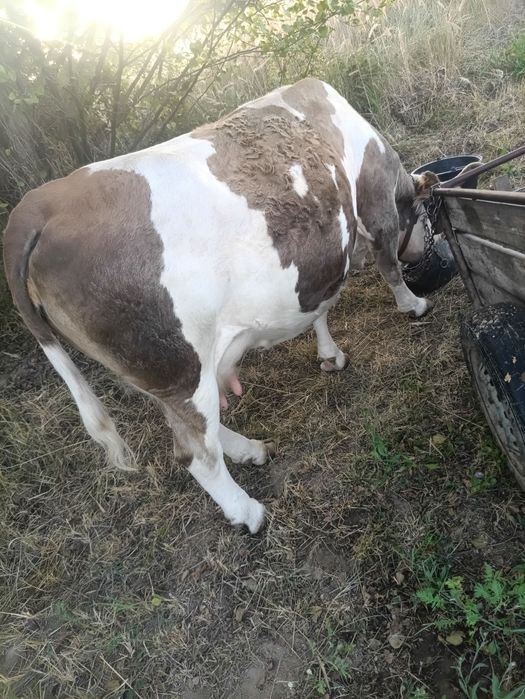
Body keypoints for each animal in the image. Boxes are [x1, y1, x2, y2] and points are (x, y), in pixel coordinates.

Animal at [3, 78, 438, 533]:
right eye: (423, 213)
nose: (430, 244)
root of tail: (37, 207)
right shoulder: (376, 207)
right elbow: (389, 266)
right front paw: (412, 304)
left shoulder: (316, 268)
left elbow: (319, 306)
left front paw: (329, 355)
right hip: (180, 368)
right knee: (195, 453)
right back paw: (247, 511)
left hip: (158, 374)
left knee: (191, 426)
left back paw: (249, 450)